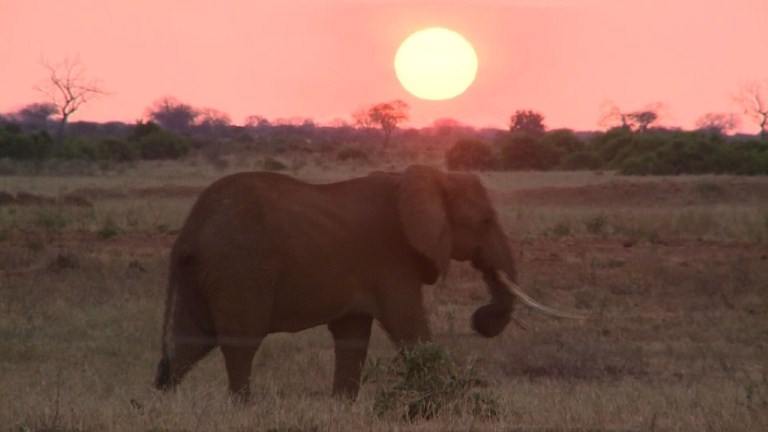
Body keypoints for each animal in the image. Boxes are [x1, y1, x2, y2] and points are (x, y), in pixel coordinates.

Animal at [156, 164, 576, 400]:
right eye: (487, 220)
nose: (480, 316)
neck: (429, 178)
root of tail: (188, 234)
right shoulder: (392, 260)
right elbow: (409, 326)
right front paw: (448, 402)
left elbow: (353, 336)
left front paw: (341, 406)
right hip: (240, 271)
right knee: (239, 343)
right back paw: (245, 407)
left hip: (205, 275)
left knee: (190, 341)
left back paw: (162, 402)